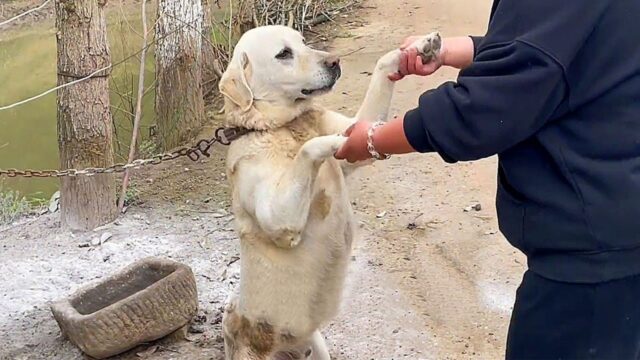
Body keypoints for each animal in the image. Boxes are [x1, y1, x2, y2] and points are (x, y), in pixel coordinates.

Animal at [220, 26, 440, 360]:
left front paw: (415, 49)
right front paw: (338, 141)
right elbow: (314, 146)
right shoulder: (279, 220)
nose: (335, 62)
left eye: (302, 41)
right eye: (284, 54)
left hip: (317, 344)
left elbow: (379, 74)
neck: (283, 126)